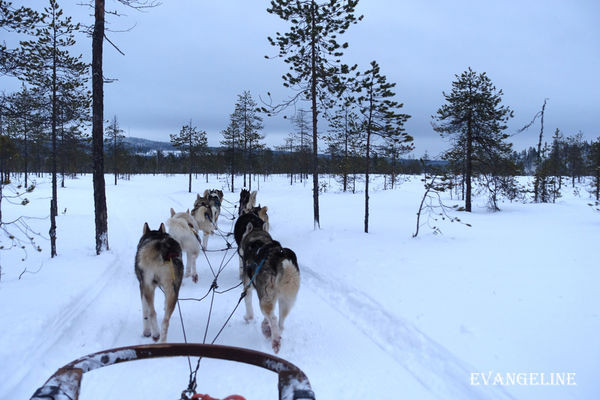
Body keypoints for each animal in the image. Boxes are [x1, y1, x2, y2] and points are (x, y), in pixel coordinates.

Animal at [237, 223, 298, 354]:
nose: (239, 249)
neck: (258, 239)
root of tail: (278, 256)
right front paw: (265, 325)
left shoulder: (248, 287)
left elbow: (248, 303)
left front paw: (248, 318)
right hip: (285, 299)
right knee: (280, 322)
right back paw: (272, 332)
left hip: (266, 296)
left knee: (273, 318)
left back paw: (275, 340)